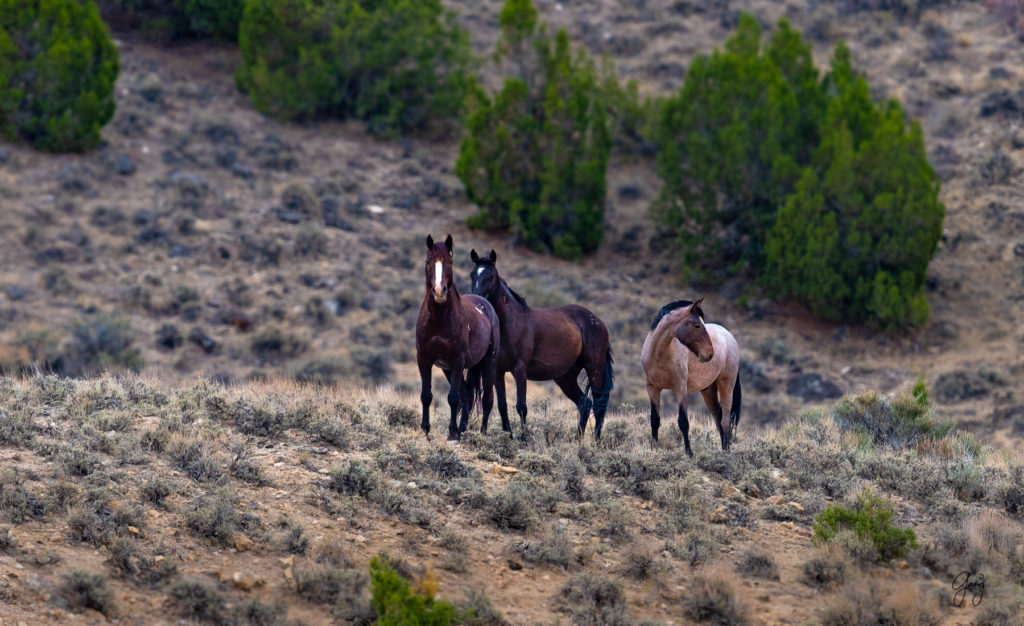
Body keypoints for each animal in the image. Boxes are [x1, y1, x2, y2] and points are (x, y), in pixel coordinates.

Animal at [411, 235, 499, 440]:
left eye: (450, 262)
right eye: (428, 262)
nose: (439, 291)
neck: (439, 321)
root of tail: (485, 303)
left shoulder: (458, 360)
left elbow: (452, 398)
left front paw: (451, 434)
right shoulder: (424, 360)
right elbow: (426, 396)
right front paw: (425, 431)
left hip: (488, 363)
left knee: (487, 399)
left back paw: (481, 434)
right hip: (448, 369)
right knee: (467, 394)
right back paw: (463, 430)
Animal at [468, 246, 610, 438]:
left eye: (490, 276)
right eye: (472, 275)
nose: (477, 300)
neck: (510, 322)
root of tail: (598, 322)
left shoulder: (520, 370)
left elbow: (521, 406)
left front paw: (523, 438)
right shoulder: (498, 371)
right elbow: (503, 405)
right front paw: (509, 436)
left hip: (594, 368)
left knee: (598, 404)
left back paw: (595, 441)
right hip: (565, 377)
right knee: (585, 403)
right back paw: (578, 440)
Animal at [634, 299, 741, 454]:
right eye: (697, 325)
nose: (710, 354)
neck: (659, 354)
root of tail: (729, 336)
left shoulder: (680, 388)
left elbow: (683, 421)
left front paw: (689, 453)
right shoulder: (652, 388)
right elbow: (654, 419)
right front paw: (654, 447)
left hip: (726, 384)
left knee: (725, 421)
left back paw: (726, 453)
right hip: (708, 390)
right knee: (718, 418)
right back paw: (722, 450)